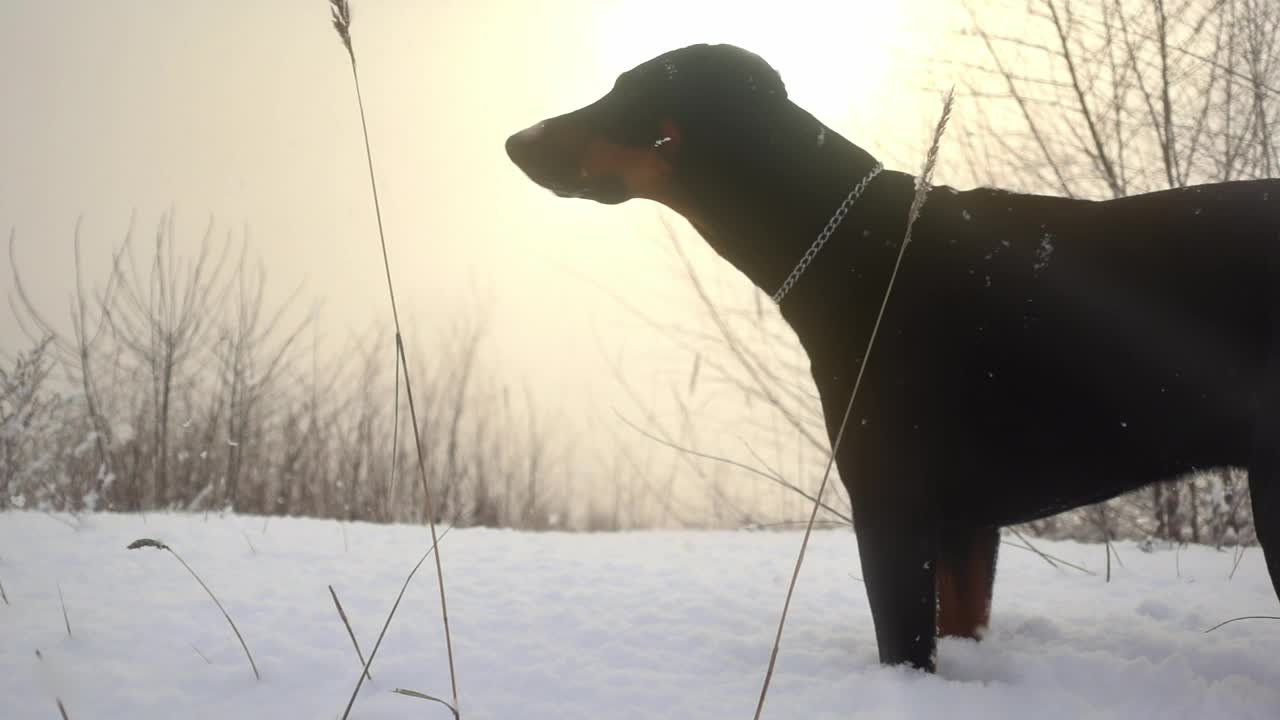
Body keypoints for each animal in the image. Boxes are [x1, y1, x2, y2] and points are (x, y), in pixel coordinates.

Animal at [501, 44, 1280, 671]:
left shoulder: (889, 503)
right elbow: (961, 621)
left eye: (628, 90)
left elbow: (903, 643)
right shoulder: (966, 524)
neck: (855, 245)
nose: (513, 141)